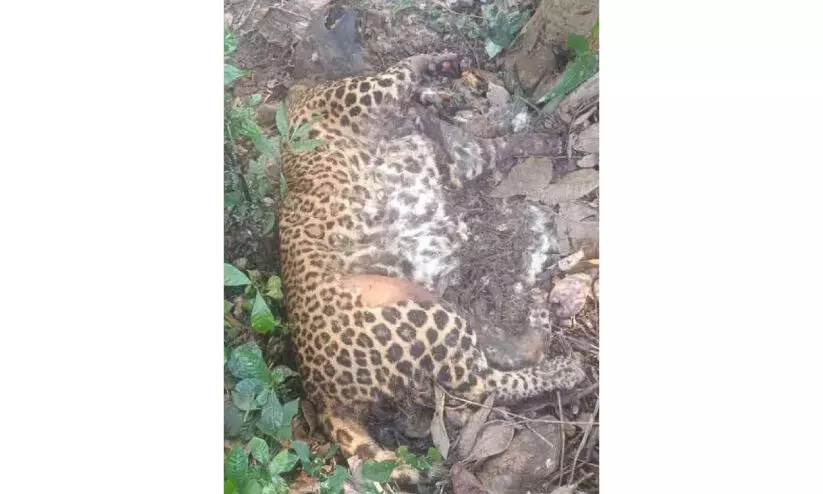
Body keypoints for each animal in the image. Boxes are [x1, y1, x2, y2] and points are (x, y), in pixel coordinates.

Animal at [274, 52, 586, 485]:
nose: (449, 99)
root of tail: (317, 391)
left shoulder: (458, 158)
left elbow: (500, 146)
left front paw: (544, 138)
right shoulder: (354, 98)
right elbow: (394, 73)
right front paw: (437, 63)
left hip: (442, 309)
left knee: (494, 360)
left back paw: (540, 326)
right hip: (423, 317)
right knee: (481, 384)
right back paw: (563, 369)